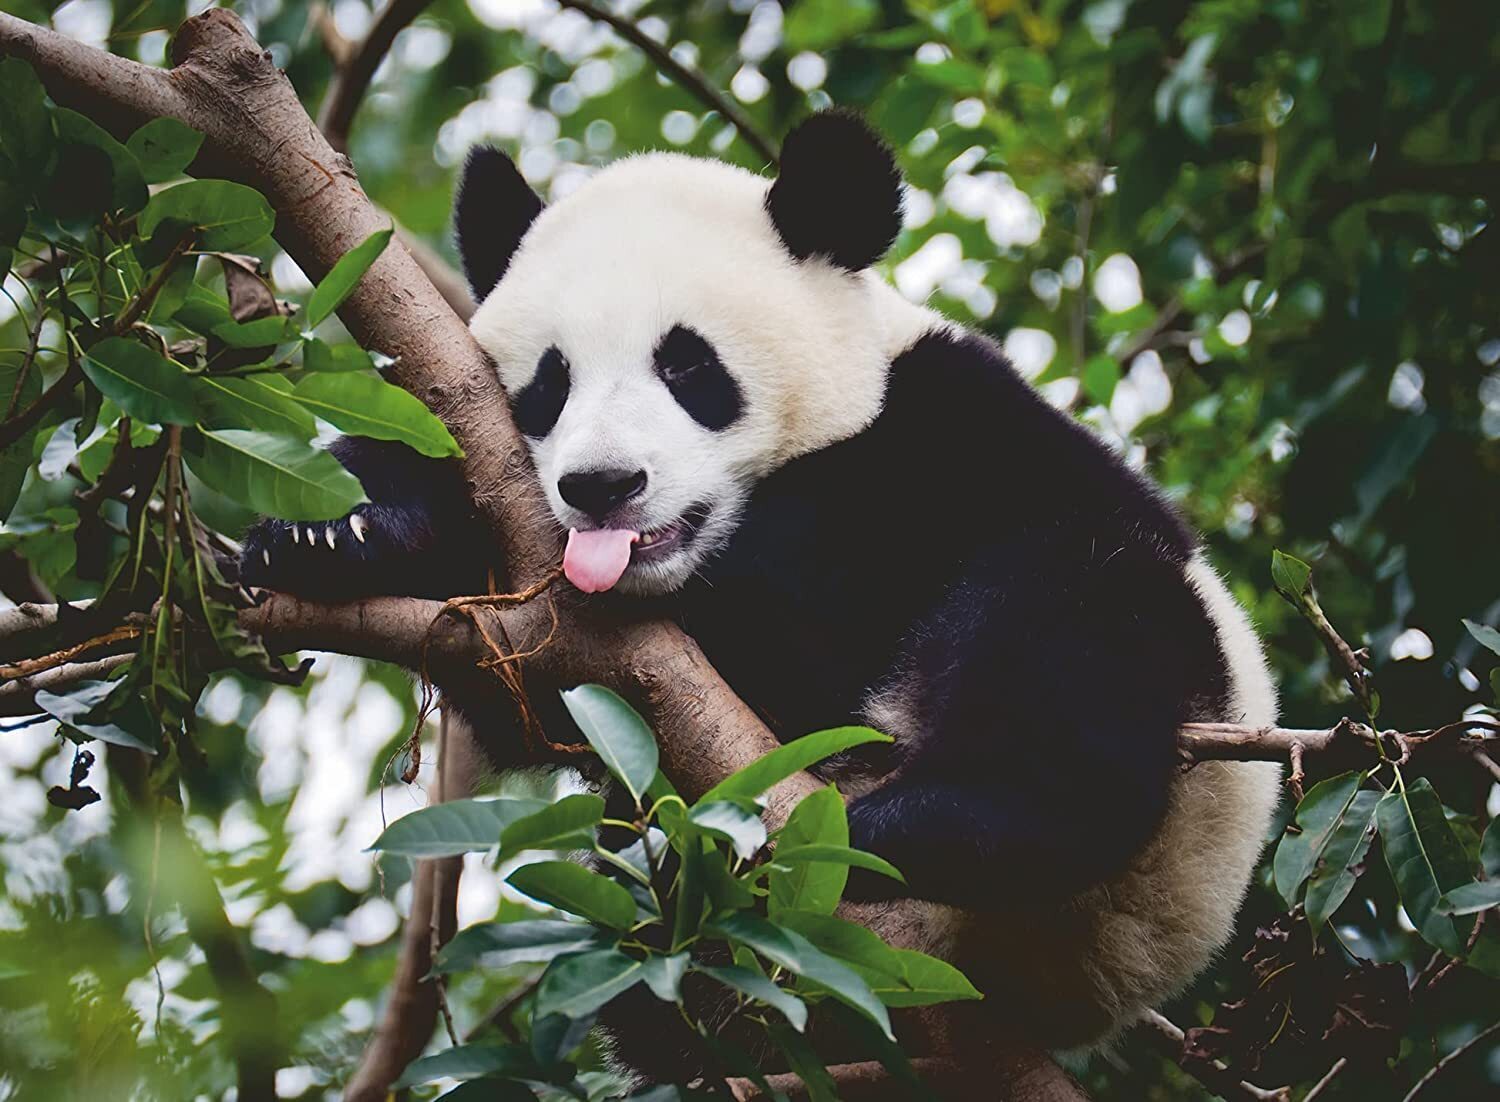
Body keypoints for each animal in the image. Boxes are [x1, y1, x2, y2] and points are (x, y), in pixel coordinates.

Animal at [240, 111, 1282, 1055]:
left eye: (688, 365)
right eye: (549, 384)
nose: (604, 486)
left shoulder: (945, 440)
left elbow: (808, 610)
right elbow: (521, 692)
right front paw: (331, 529)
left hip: (1163, 821)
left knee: (1073, 620)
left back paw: (921, 825)